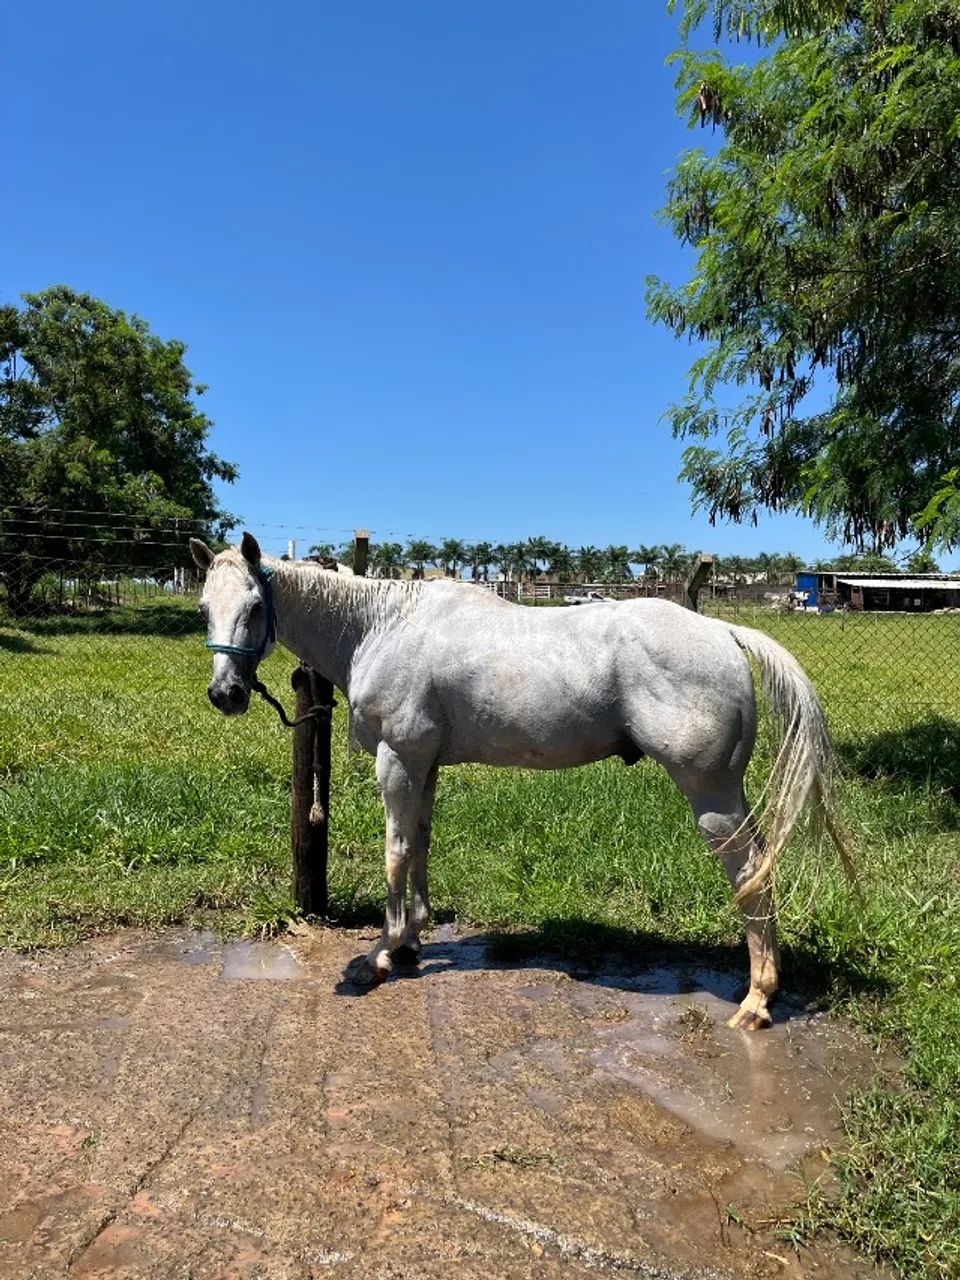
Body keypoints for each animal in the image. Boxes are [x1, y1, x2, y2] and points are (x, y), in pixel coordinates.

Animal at [191, 533, 852, 1030]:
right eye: (204, 608)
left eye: (254, 607)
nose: (225, 695)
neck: (381, 626)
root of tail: (723, 633)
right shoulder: (425, 764)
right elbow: (421, 843)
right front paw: (411, 940)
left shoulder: (397, 759)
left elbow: (395, 851)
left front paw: (379, 955)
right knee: (761, 868)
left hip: (710, 795)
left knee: (750, 872)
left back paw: (757, 1001)